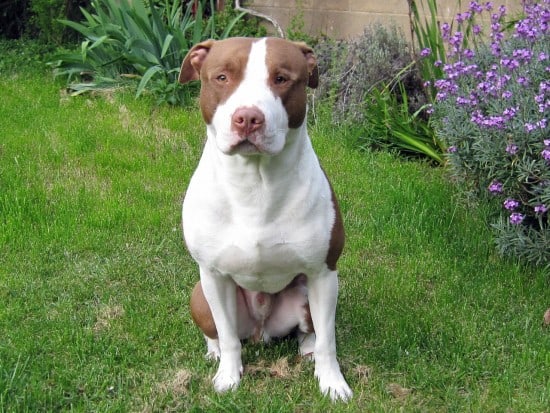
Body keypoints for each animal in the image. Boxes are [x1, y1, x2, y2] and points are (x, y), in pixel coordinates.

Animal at [180, 37, 354, 400]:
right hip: (200, 295)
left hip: (305, 293)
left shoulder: (323, 273)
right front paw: (228, 376)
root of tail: (262, 331)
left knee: (311, 330)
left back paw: (307, 347)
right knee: (219, 331)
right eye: (222, 77)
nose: (248, 118)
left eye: (282, 78)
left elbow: (329, 340)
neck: (255, 184)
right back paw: (214, 351)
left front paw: (332, 382)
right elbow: (229, 336)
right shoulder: (213, 275)